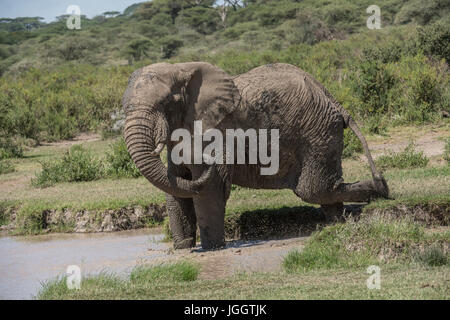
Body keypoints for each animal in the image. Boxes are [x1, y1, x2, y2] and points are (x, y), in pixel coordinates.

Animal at [121, 60, 388, 250]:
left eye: (168, 102)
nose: (215, 158)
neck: (182, 69)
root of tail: (334, 100)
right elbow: (175, 188)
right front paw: (182, 248)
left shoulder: (212, 129)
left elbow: (209, 188)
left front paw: (212, 249)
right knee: (322, 190)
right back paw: (339, 222)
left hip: (317, 133)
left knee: (312, 189)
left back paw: (381, 190)